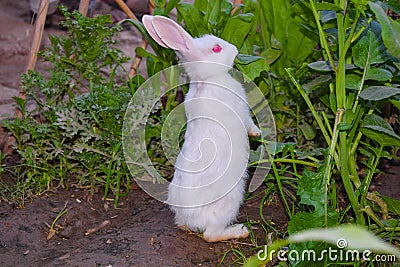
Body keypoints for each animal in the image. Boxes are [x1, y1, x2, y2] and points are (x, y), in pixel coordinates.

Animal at [142, 15, 260, 244]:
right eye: (216, 48)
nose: (235, 50)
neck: (205, 81)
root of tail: (189, 217)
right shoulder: (240, 109)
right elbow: (249, 122)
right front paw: (256, 133)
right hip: (228, 203)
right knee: (210, 235)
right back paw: (240, 230)